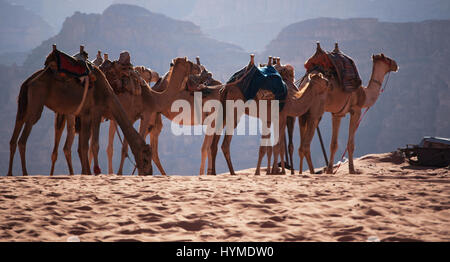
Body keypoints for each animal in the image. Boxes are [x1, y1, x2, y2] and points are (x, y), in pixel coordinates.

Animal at [6, 45, 153, 176]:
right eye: (146, 159)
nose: (149, 173)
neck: (108, 93)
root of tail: (28, 81)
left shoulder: (84, 114)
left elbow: (83, 146)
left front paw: (86, 172)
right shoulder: (95, 111)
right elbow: (93, 145)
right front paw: (94, 172)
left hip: (23, 105)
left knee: (15, 135)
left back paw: (10, 173)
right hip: (36, 103)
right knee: (23, 139)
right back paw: (25, 173)